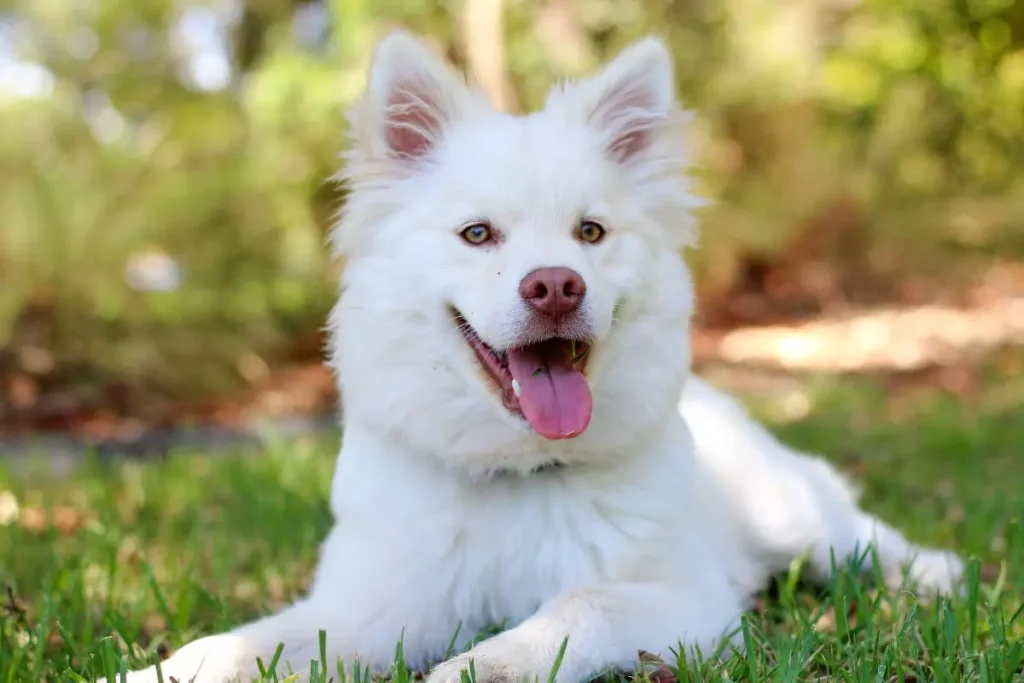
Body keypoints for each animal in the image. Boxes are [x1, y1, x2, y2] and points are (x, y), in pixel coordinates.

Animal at [103, 30, 966, 683]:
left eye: (590, 231)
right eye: (478, 234)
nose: (554, 285)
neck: (516, 473)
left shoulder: (684, 600)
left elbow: (571, 611)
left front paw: (472, 668)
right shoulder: (364, 609)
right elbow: (239, 644)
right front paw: (151, 671)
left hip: (791, 514)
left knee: (862, 537)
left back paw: (938, 574)